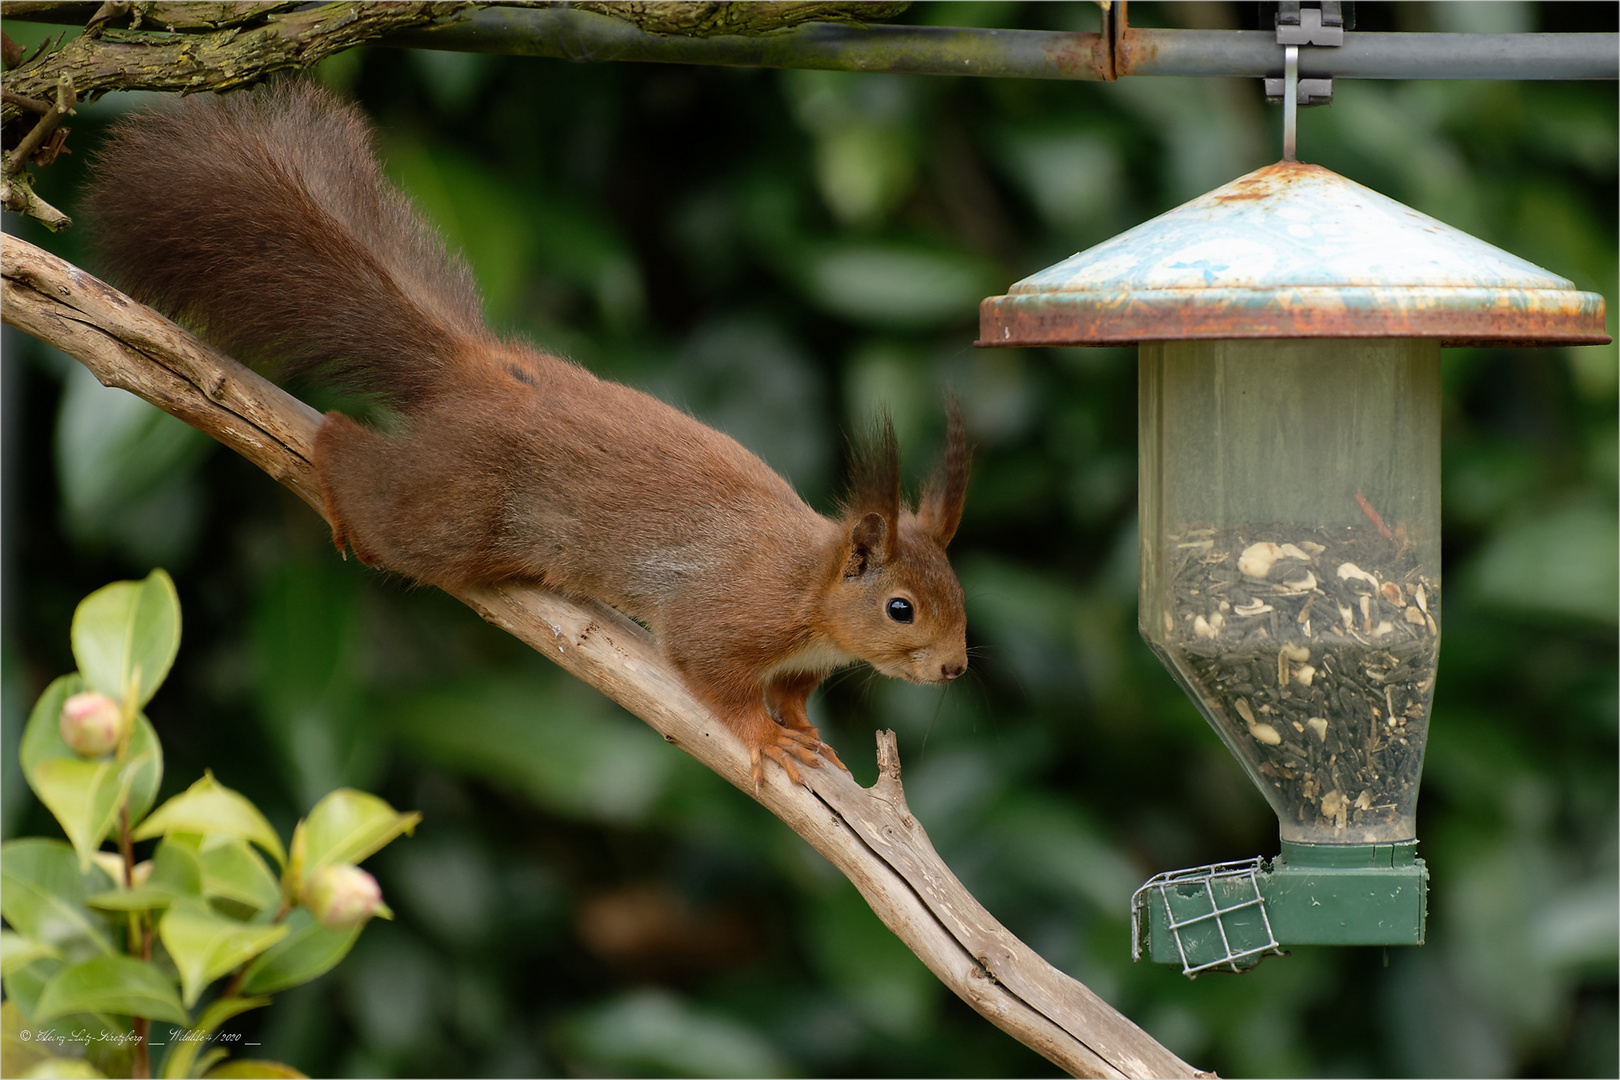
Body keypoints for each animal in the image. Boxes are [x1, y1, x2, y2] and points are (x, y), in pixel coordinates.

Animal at [82, 84, 965, 790]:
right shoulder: (731, 615)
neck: (812, 587)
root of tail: (475, 373)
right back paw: (334, 477)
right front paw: (767, 739)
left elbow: (789, 694)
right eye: (900, 609)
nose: (956, 666)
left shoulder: (800, 662)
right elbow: (712, 675)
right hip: (453, 509)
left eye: (952, 593)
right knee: (353, 457)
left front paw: (805, 730)